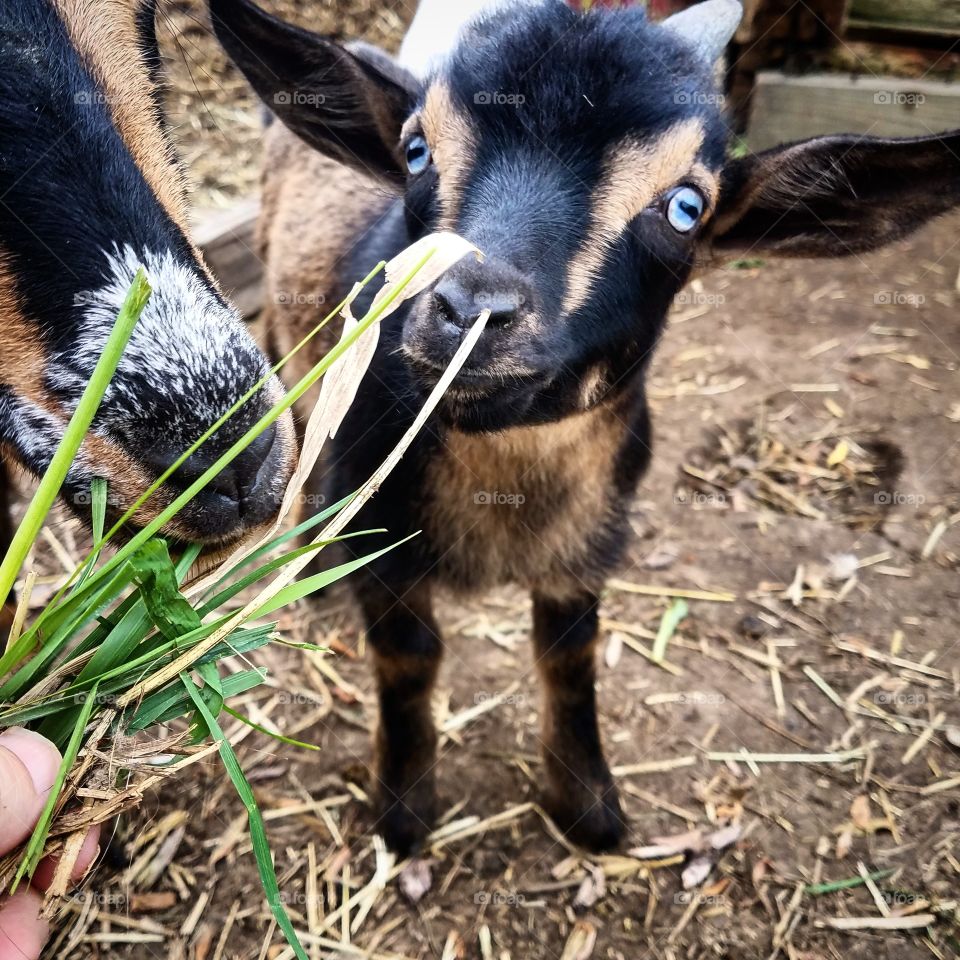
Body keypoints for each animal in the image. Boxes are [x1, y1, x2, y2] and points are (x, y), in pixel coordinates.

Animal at [212, 0, 960, 855]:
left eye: (686, 208)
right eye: (416, 150)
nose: (471, 309)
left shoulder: (590, 541)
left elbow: (570, 658)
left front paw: (589, 805)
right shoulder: (384, 539)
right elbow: (409, 659)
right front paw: (403, 812)